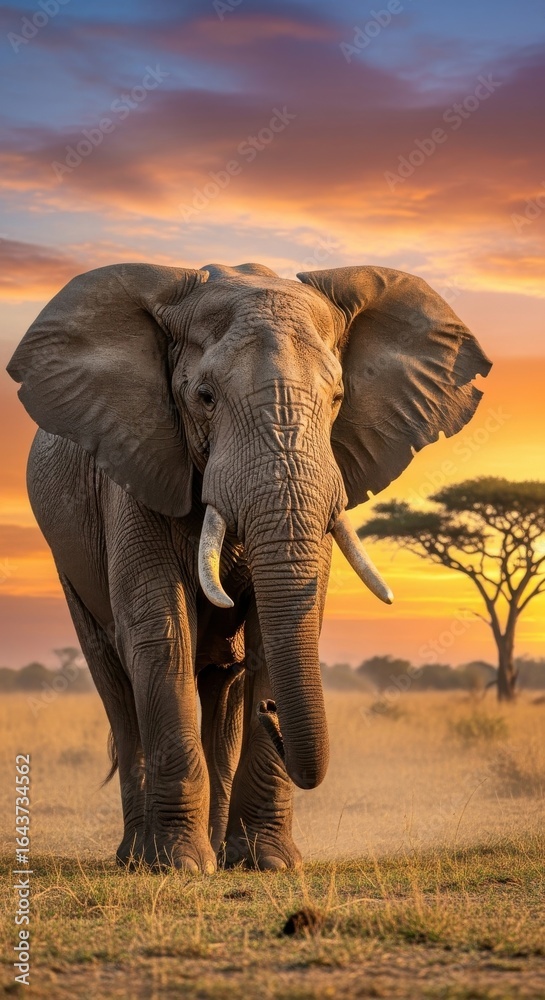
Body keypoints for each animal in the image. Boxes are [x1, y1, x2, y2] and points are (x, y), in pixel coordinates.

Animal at [7, 261, 491, 872]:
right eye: (205, 397)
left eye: (338, 397)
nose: (273, 709)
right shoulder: (135, 461)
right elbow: (161, 634)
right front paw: (179, 866)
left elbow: (271, 633)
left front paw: (268, 863)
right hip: (68, 562)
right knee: (117, 687)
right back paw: (137, 857)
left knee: (224, 694)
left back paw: (217, 844)